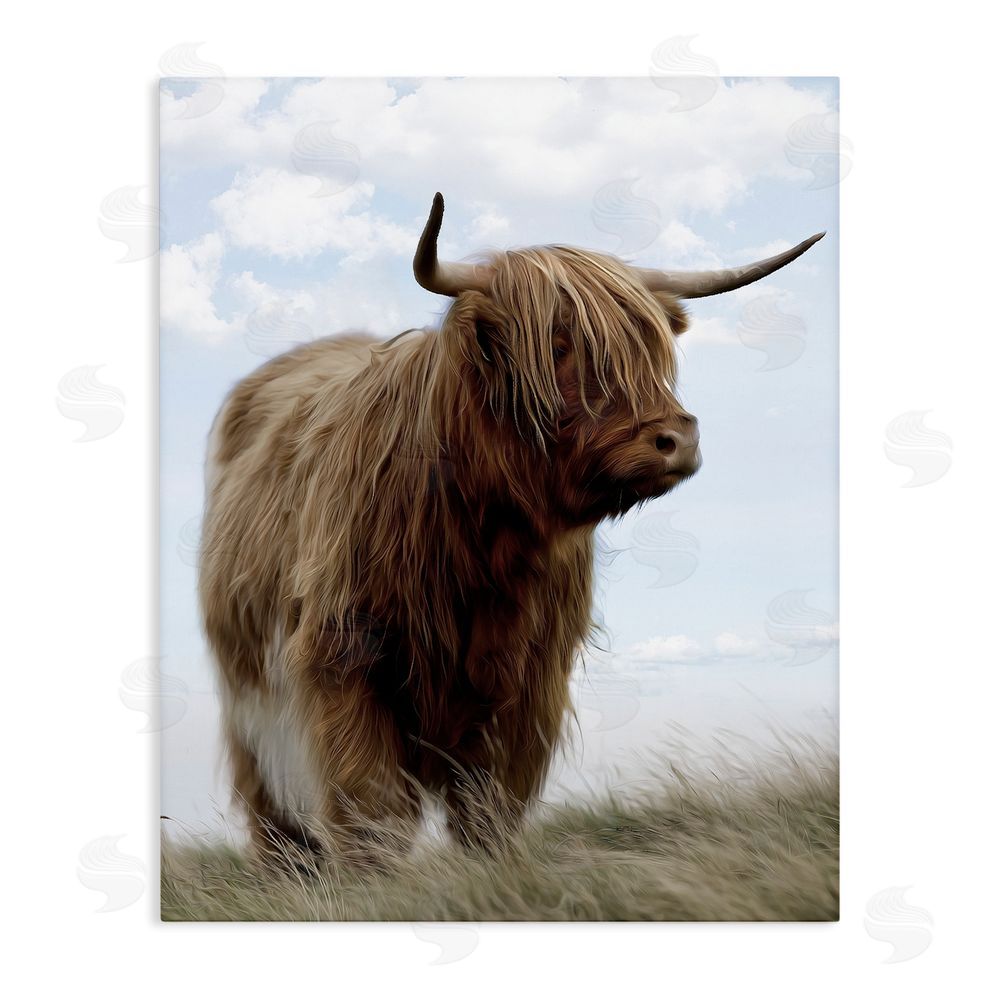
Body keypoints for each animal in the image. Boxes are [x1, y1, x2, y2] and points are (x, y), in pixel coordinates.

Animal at [199, 193, 823, 862]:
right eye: (557, 344)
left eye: (650, 348)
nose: (676, 439)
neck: (483, 541)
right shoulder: (343, 655)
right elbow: (368, 802)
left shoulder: (529, 682)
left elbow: (490, 805)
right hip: (249, 702)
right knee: (273, 812)